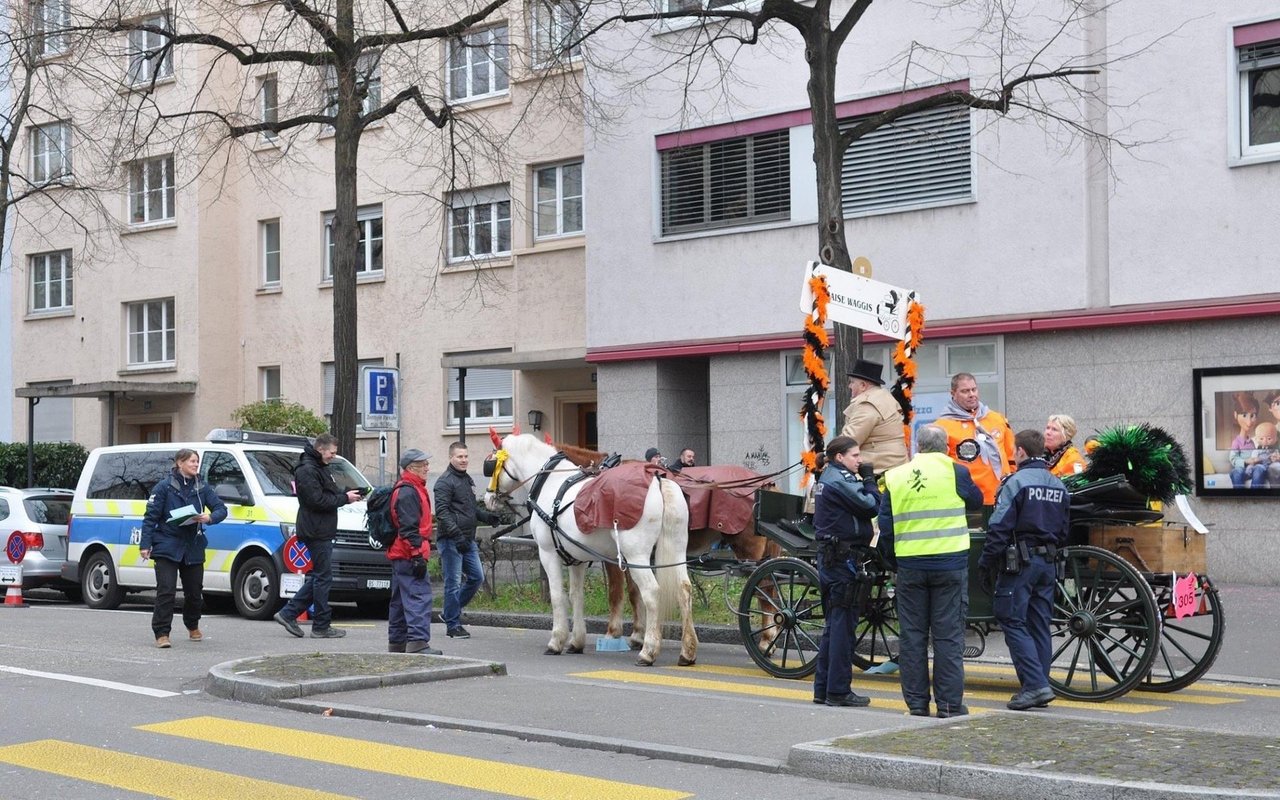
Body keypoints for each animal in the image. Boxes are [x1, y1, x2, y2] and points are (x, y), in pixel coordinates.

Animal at [481, 432, 701, 665]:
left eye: (490, 464)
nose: (487, 498)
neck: (552, 483)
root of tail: (658, 479)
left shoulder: (548, 554)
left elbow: (557, 595)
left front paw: (556, 640)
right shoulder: (576, 558)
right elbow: (576, 595)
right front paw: (576, 641)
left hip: (636, 556)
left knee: (650, 592)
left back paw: (648, 651)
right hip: (676, 549)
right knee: (684, 590)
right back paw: (687, 651)